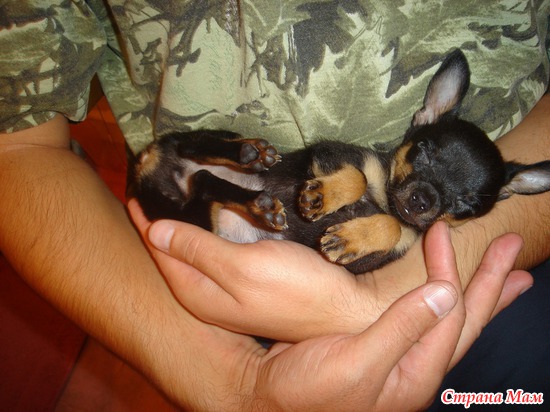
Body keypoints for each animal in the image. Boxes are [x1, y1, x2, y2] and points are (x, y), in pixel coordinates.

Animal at [131, 50, 550, 274]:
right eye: (424, 151)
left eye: (467, 205)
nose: (422, 200)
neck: (385, 202)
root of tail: (142, 164)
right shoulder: (332, 154)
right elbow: (357, 177)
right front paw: (322, 198)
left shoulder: (372, 259)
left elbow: (392, 228)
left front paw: (351, 237)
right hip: (192, 177)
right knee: (198, 157)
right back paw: (251, 156)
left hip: (191, 216)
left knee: (202, 179)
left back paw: (257, 193)